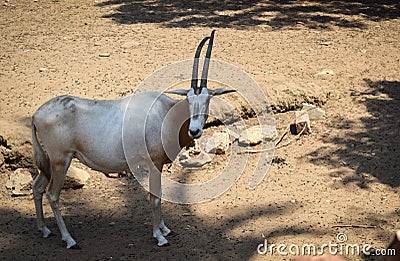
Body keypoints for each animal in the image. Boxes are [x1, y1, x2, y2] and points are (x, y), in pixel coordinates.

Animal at [32, 30, 238, 248]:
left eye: (207, 99)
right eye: (188, 99)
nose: (194, 130)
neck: (165, 114)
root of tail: (36, 115)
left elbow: (159, 194)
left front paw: (165, 228)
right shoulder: (154, 163)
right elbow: (155, 197)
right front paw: (159, 236)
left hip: (49, 162)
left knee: (37, 187)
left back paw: (44, 229)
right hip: (61, 161)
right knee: (52, 195)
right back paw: (69, 239)